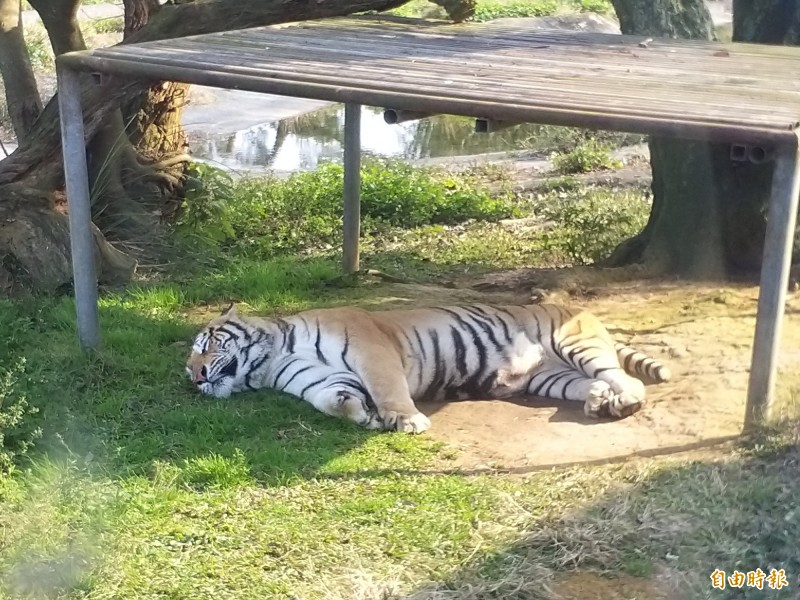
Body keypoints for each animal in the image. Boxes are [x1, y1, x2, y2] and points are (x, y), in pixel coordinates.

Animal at [186, 303, 671, 434]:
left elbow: (387, 388)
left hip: (575, 343)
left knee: (623, 376)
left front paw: (406, 420)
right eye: (189, 370)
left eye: (206, 344)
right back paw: (599, 401)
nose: (194, 379)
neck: (273, 358)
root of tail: (576, 308)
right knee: (588, 385)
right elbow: (334, 399)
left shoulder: (371, 349)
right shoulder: (319, 378)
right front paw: (363, 415)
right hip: (552, 377)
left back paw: (622, 399)